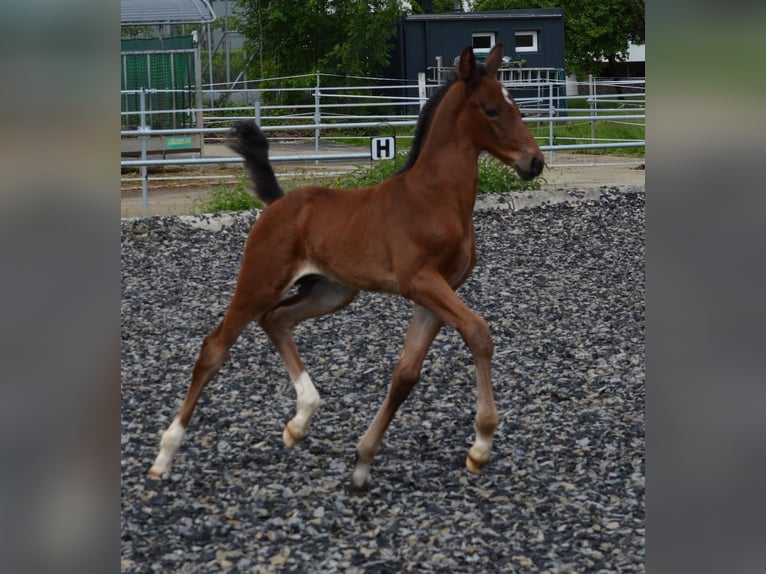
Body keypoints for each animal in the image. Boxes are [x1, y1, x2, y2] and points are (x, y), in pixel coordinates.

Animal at [150, 46, 544, 496]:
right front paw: (481, 445)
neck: (435, 198)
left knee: (276, 320)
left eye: (517, 107)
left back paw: (300, 420)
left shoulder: (436, 293)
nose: (535, 162)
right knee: (215, 347)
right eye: (492, 109)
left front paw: (362, 462)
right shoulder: (420, 281)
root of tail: (278, 203)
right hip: (260, 282)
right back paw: (164, 456)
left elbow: (405, 374)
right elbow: (478, 332)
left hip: (331, 292)